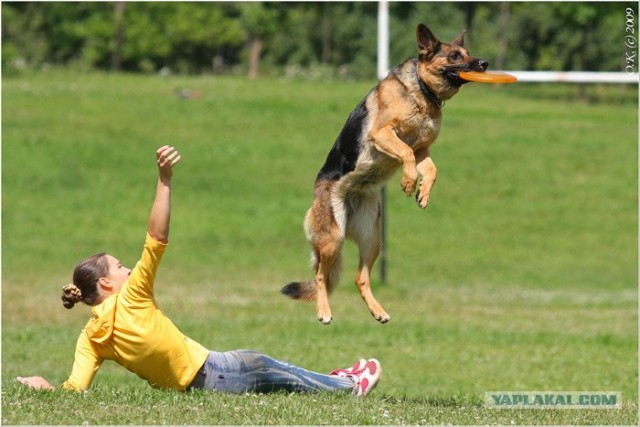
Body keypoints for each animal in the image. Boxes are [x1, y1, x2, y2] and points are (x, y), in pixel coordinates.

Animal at [282, 23, 488, 324]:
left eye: (469, 53)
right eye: (454, 56)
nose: (484, 63)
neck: (421, 90)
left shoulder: (423, 149)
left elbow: (431, 168)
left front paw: (423, 193)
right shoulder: (383, 134)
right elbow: (405, 153)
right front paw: (409, 181)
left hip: (372, 240)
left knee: (360, 278)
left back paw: (378, 312)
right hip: (333, 239)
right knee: (320, 276)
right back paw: (324, 312)